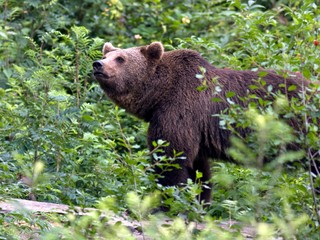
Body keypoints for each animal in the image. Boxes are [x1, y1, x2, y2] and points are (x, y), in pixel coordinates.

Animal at [92, 42, 318, 203]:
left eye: (121, 58)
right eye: (106, 55)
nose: (97, 64)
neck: (159, 94)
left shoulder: (180, 111)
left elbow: (170, 157)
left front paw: (166, 201)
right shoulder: (195, 131)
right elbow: (199, 170)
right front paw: (200, 200)